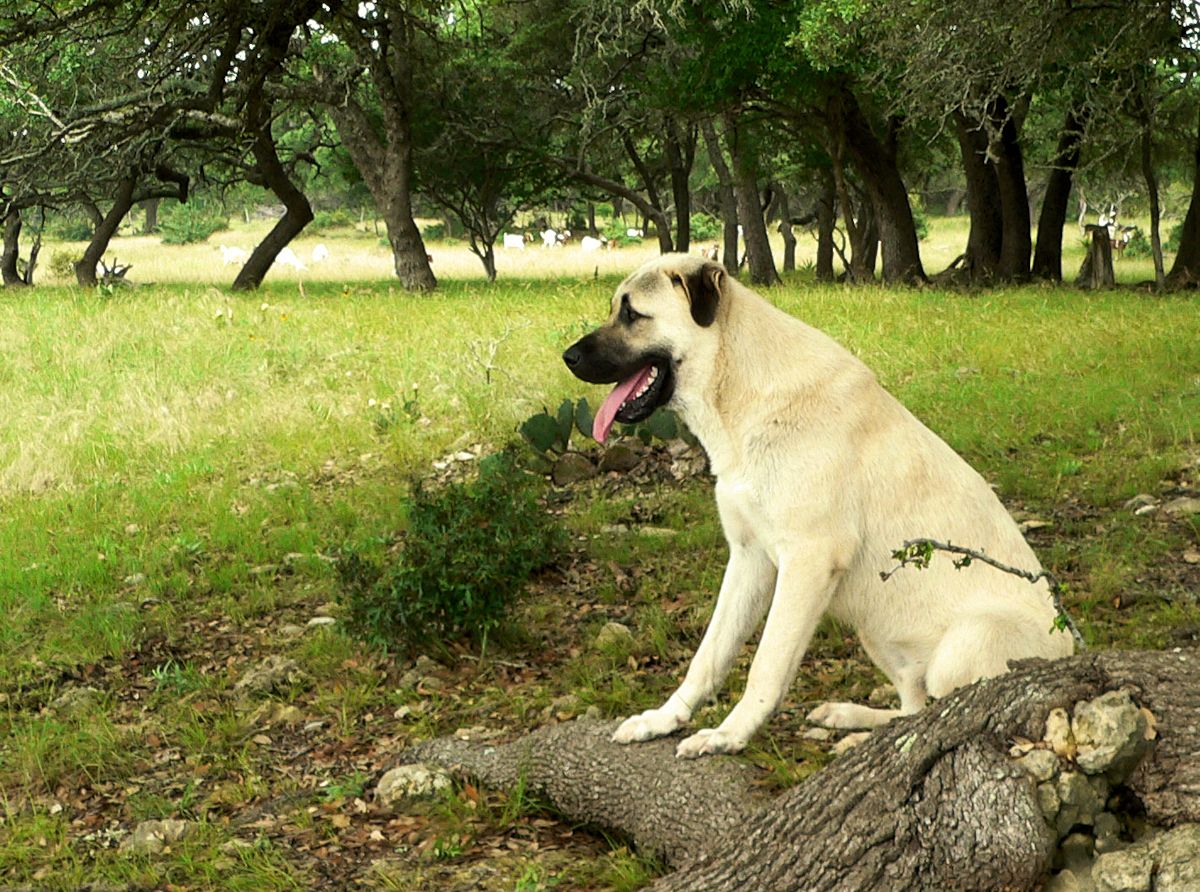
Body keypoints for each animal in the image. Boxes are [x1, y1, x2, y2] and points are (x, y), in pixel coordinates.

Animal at [561, 253, 1080, 758]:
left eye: (632, 314)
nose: (567, 357)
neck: (740, 390)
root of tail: (1076, 650)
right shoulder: (749, 560)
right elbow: (708, 656)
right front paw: (663, 720)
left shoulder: (807, 563)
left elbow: (766, 666)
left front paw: (728, 736)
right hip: (877, 630)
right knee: (913, 710)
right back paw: (853, 722)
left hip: (965, 642)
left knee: (942, 712)